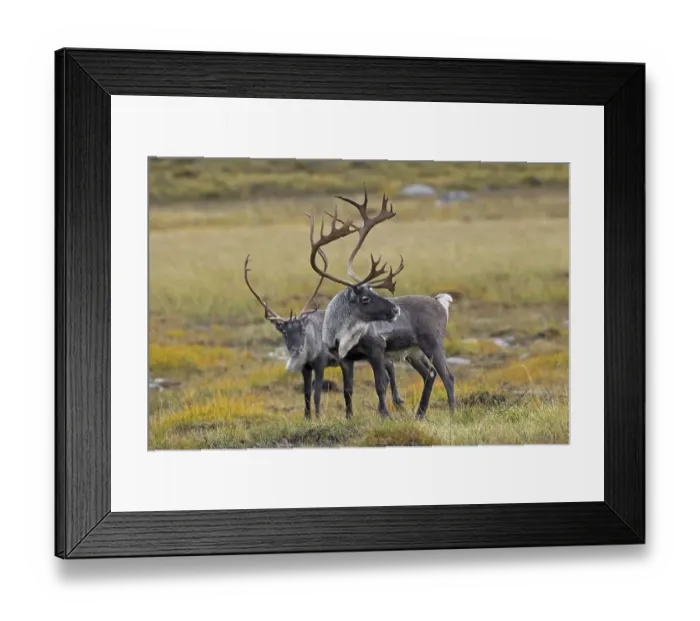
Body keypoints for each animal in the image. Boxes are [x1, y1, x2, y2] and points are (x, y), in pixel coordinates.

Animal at [243, 250, 405, 420]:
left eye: (302, 329)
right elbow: (307, 392)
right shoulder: (306, 367)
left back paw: (397, 402)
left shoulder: (320, 364)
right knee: (388, 367)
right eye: (284, 332)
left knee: (389, 367)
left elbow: (317, 393)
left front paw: (318, 417)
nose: (296, 350)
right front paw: (307, 417)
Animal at [307, 187, 456, 420]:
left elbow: (380, 384)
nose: (395, 310)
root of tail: (441, 303)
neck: (341, 331)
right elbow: (348, 389)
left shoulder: (377, 350)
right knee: (430, 374)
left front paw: (385, 415)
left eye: (374, 291)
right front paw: (349, 417)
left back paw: (452, 412)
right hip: (413, 352)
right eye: (365, 298)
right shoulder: (345, 359)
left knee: (447, 376)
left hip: (432, 343)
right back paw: (420, 414)